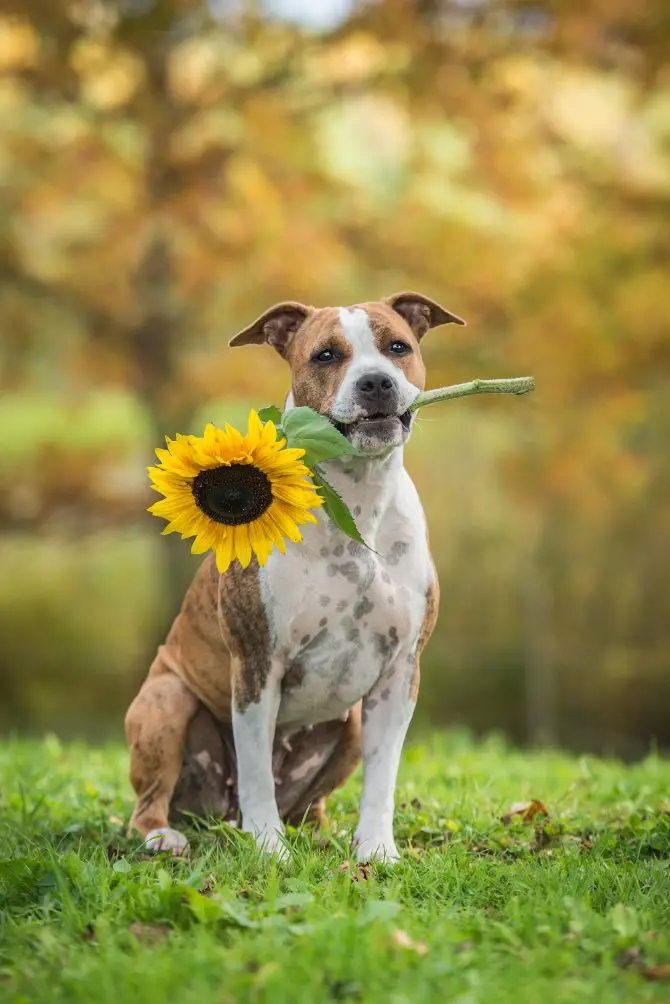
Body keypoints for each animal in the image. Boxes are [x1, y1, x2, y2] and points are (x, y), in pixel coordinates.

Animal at [123, 291, 464, 863]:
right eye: (325, 355)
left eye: (398, 347)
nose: (376, 382)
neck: (359, 499)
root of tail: (219, 812)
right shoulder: (258, 663)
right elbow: (257, 768)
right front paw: (268, 848)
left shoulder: (400, 672)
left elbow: (383, 776)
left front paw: (377, 849)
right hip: (165, 701)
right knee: (152, 801)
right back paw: (165, 835)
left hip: (349, 727)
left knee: (312, 800)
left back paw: (319, 831)